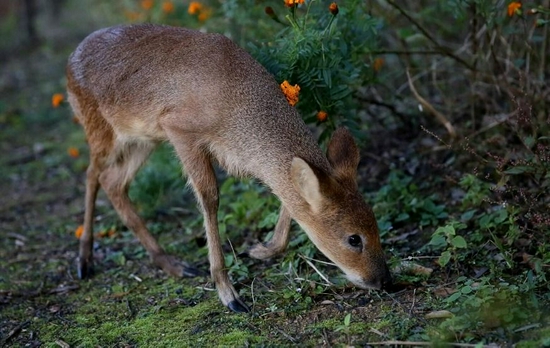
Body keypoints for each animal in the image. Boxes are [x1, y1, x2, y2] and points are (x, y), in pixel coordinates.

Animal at [67, 24, 392, 312]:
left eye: (376, 223)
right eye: (353, 239)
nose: (383, 280)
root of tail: (70, 64)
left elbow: (289, 195)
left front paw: (261, 250)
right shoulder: (180, 130)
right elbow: (210, 199)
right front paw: (229, 294)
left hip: (142, 138)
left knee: (113, 181)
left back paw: (172, 264)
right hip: (101, 128)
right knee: (92, 174)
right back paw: (85, 260)